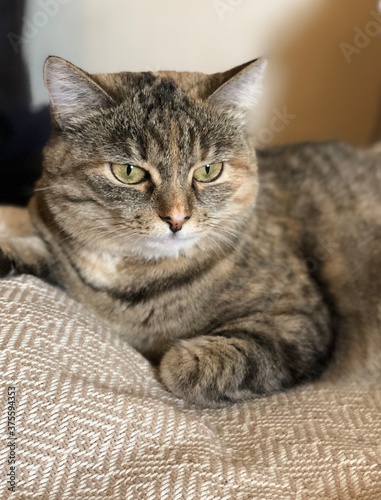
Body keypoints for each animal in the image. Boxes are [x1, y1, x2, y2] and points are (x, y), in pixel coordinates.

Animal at [0, 56, 380, 406]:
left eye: (208, 170)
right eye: (128, 171)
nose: (177, 218)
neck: (134, 278)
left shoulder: (299, 320)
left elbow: (190, 365)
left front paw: (176, 357)